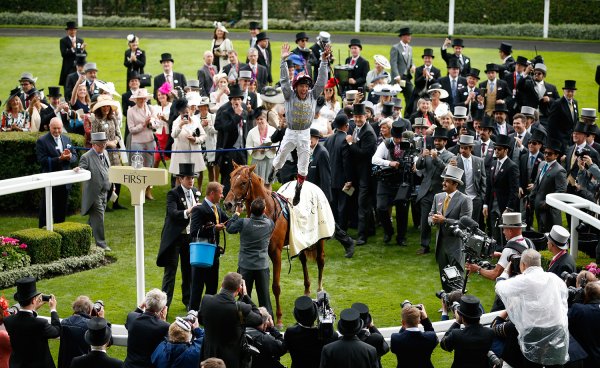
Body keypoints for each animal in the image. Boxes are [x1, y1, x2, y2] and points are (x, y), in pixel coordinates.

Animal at [224, 162, 326, 326]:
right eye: (231, 178)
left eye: (243, 182)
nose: (228, 203)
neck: (269, 211)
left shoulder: (275, 252)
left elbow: (275, 286)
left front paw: (278, 318)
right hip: (300, 240)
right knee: (303, 260)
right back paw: (306, 290)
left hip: (319, 237)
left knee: (320, 260)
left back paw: (319, 289)